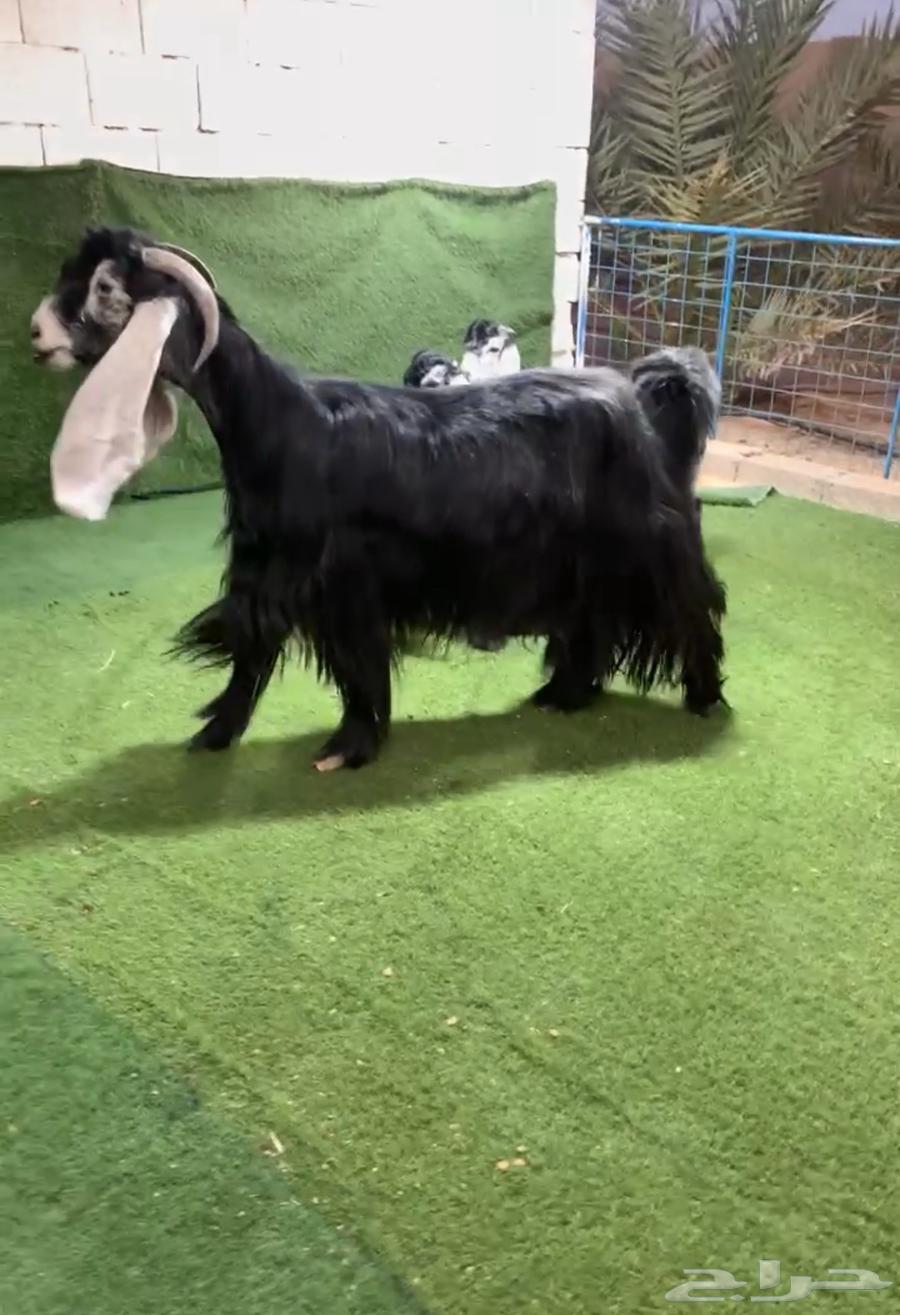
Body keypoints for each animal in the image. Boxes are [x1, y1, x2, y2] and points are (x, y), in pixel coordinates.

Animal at [33, 226, 727, 771]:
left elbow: (353, 665)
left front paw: (348, 747)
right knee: (594, 626)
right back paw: (564, 693)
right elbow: (251, 650)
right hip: (587, 564)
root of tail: (645, 403)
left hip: (648, 544)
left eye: (104, 289)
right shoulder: (268, 571)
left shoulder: (342, 581)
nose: (37, 334)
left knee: (691, 610)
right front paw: (216, 734)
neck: (283, 424)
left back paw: (703, 698)